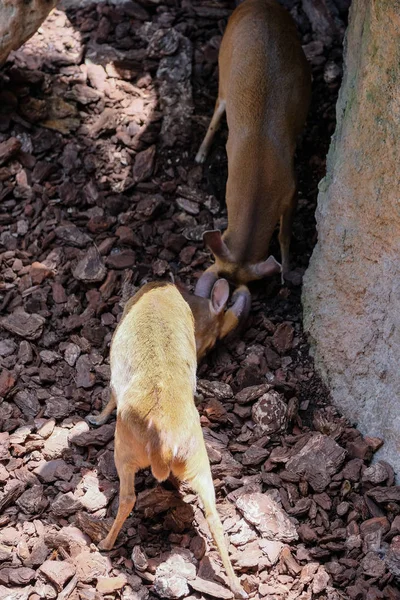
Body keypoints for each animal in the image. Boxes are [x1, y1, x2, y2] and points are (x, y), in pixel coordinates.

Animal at [88, 284, 247, 596]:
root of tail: (165, 445)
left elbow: (110, 397)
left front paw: (96, 419)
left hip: (124, 452)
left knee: (128, 498)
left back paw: (105, 543)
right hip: (199, 463)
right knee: (214, 517)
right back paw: (237, 586)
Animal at [195, 0, 310, 300]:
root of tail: (260, 3)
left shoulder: (291, 188)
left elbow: (284, 235)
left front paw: (286, 271)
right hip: (223, 67)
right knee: (218, 107)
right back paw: (201, 153)